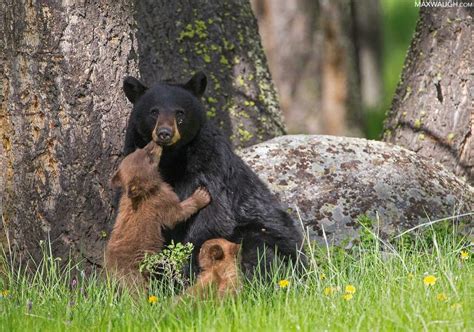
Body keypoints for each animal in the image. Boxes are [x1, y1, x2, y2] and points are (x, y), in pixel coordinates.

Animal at [120, 71, 302, 278]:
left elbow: (211, 217)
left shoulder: (209, 168)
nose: (164, 133)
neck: (170, 159)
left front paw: (188, 269)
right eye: (154, 112)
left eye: (180, 112)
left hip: (264, 237)